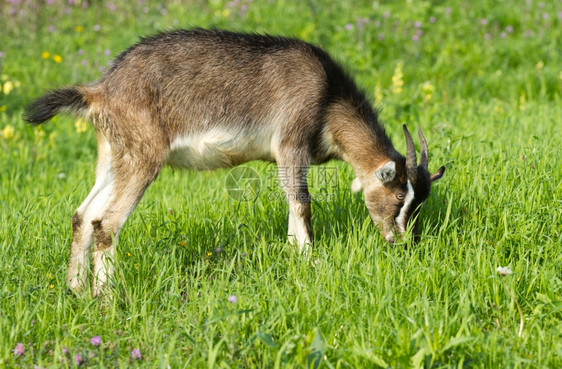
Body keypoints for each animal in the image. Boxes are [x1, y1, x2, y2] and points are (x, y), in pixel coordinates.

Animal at [24, 27, 444, 294]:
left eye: (420, 201)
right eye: (397, 198)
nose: (404, 243)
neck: (328, 98)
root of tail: (101, 90)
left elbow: (291, 205)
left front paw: (294, 257)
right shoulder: (291, 140)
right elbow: (302, 203)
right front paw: (311, 263)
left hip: (114, 154)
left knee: (83, 215)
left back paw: (75, 289)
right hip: (142, 156)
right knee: (106, 222)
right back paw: (107, 298)